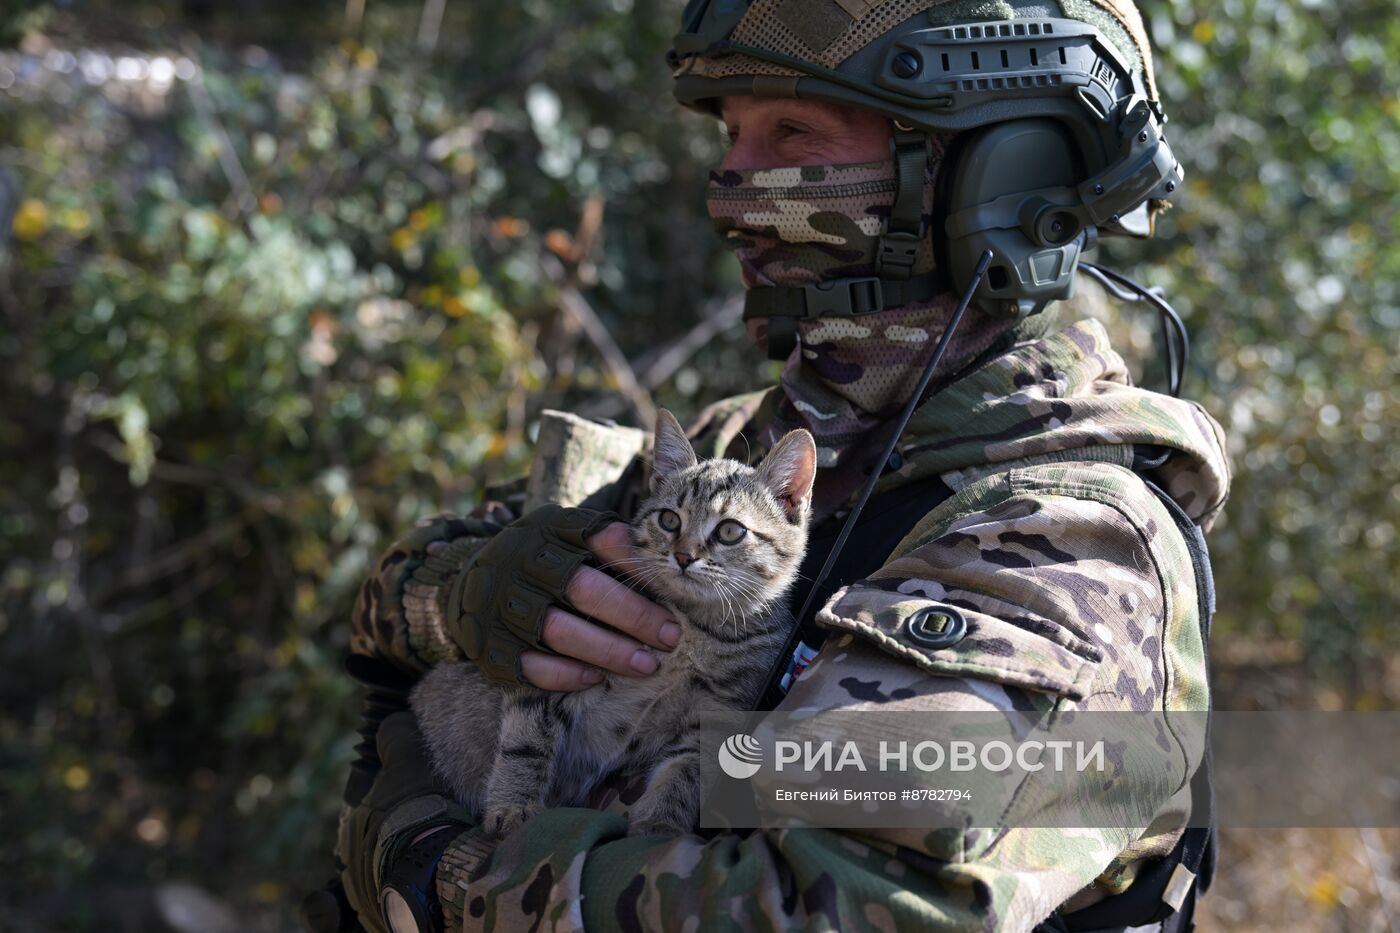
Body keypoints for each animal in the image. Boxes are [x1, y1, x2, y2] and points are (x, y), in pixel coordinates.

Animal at [408, 411, 817, 829]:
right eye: (669, 520)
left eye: (731, 530)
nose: (683, 556)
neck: (694, 629)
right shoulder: (552, 669)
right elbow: (527, 740)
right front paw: (513, 805)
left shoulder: (720, 716)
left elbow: (686, 772)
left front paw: (657, 826)